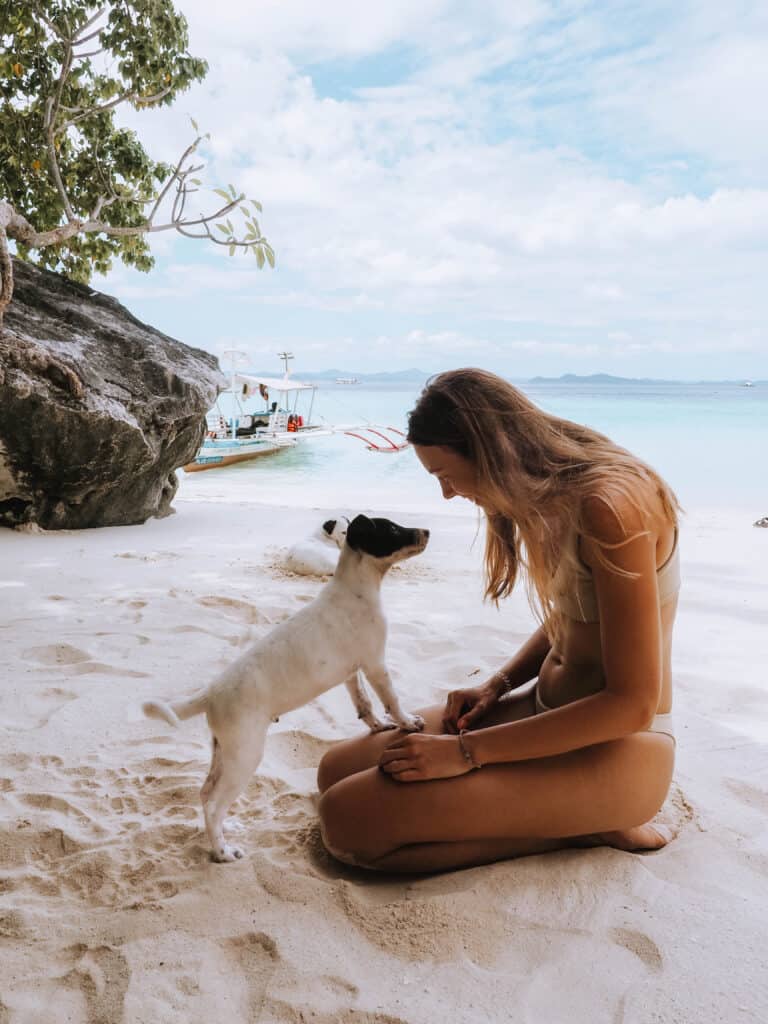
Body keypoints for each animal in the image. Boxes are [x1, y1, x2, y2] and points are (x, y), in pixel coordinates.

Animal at [143, 516, 428, 860]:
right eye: (392, 529)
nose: (427, 532)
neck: (354, 587)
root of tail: (211, 694)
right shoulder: (375, 664)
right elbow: (392, 699)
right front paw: (407, 722)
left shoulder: (352, 672)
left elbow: (364, 704)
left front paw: (378, 727)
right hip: (245, 755)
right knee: (213, 805)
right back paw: (223, 852)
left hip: (223, 751)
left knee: (205, 793)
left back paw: (226, 831)